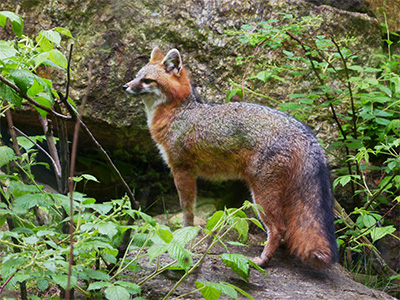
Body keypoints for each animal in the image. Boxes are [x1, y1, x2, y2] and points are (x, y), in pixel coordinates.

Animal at [122, 47, 338, 270]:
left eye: (147, 80)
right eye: (136, 76)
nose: (125, 86)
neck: (179, 112)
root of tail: (306, 132)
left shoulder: (182, 170)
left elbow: (187, 210)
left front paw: (183, 234)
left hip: (262, 196)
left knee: (279, 228)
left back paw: (263, 260)